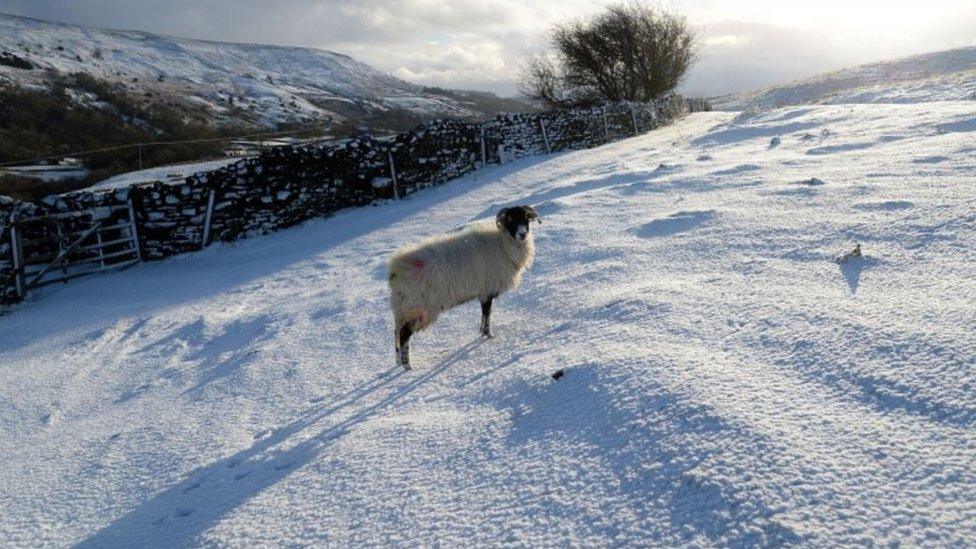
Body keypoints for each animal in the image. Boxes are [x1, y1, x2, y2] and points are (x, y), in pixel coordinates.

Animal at [388, 204, 540, 368]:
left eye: (525, 217)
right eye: (510, 219)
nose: (522, 234)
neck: (503, 243)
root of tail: (396, 270)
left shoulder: (483, 293)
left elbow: (484, 315)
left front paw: (481, 332)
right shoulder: (487, 290)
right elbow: (487, 314)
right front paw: (488, 335)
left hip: (403, 310)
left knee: (396, 332)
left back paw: (398, 361)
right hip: (419, 308)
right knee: (404, 334)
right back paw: (407, 366)